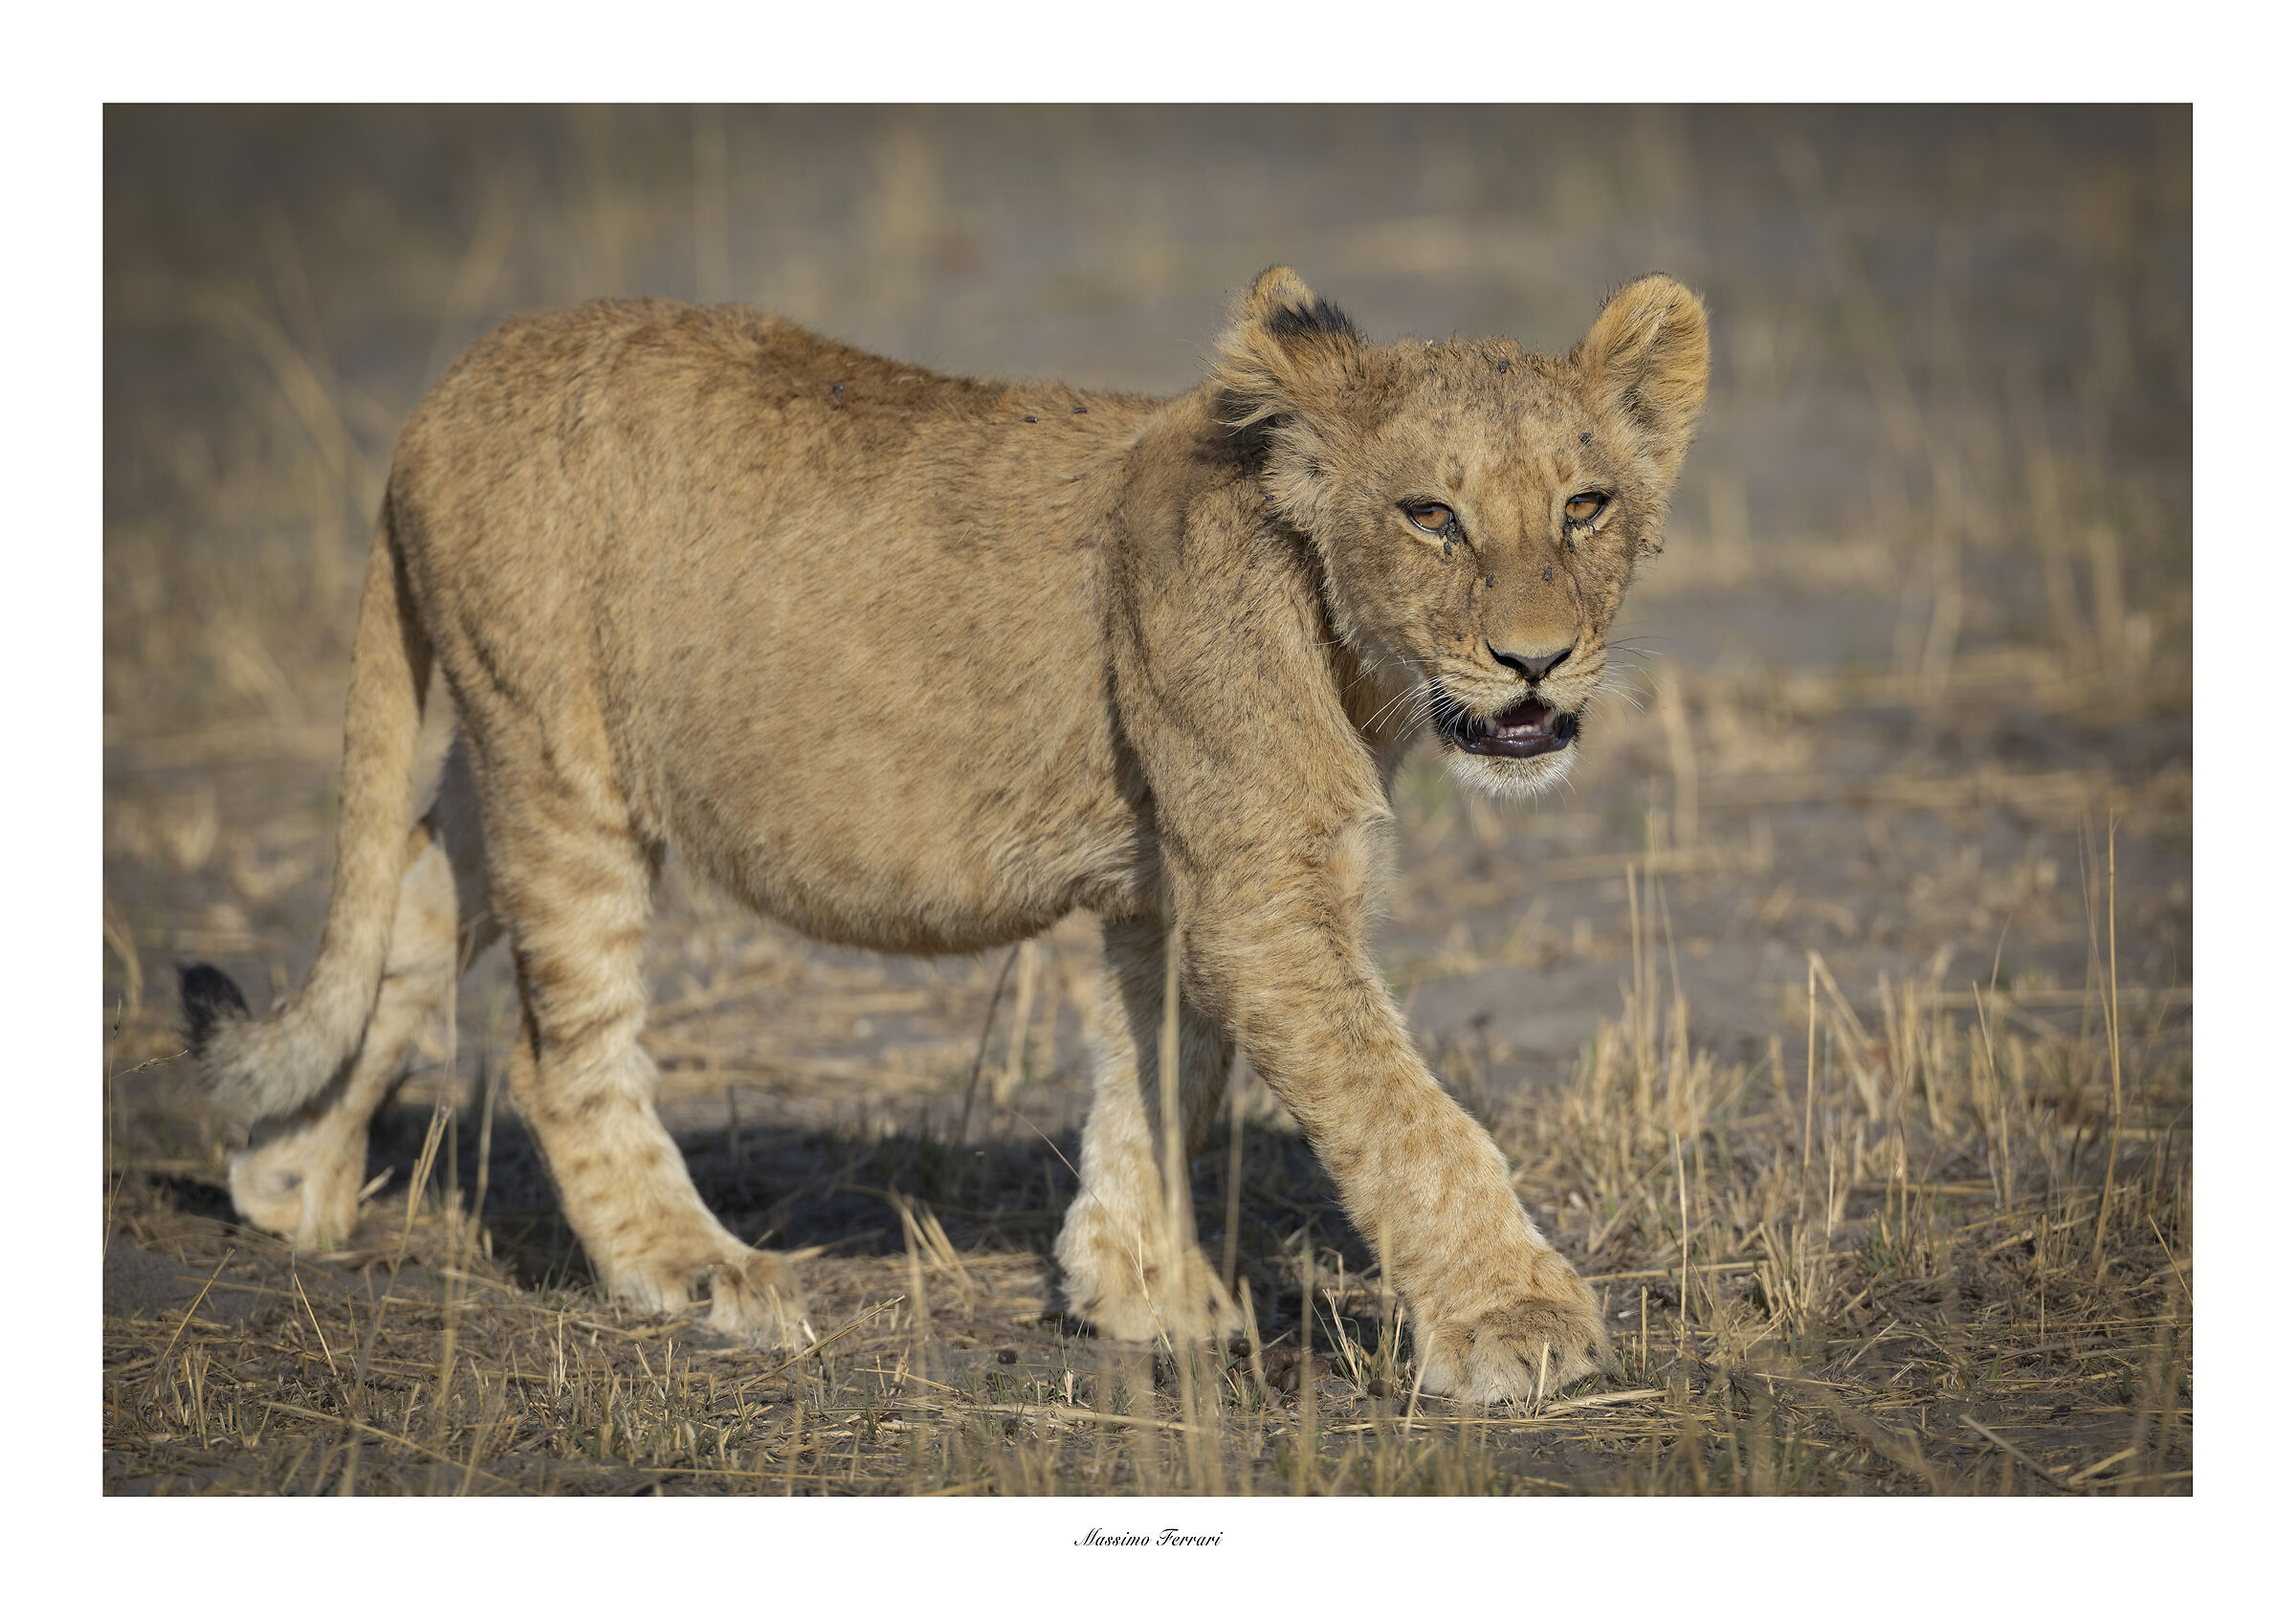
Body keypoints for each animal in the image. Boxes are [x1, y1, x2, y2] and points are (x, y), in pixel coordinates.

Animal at [182, 266, 1707, 1401]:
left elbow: (1163, 1074)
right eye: (1433, 517)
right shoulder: (1264, 883)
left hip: (508, 754)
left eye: (1586, 506)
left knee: (407, 901)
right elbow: (1407, 1116)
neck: (1351, 641)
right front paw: (1519, 1325)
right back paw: (702, 1274)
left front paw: (1135, 1286)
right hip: (566, 762)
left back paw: (290, 1175)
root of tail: (447, 386)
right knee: (560, 1056)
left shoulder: (1176, 881)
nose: (1534, 663)